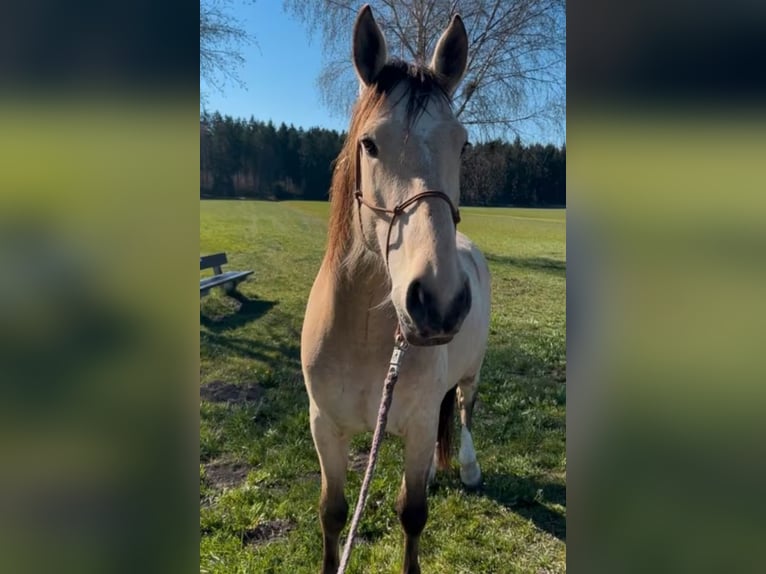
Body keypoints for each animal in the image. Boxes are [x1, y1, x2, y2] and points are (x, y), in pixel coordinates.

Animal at [301, 6, 491, 573]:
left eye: (462, 143)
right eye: (370, 144)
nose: (438, 301)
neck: (364, 332)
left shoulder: (421, 422)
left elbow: (412, 514)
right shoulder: (325, 428)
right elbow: (333, 513)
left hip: (469, 376)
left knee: (465, 411)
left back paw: (468, 468)